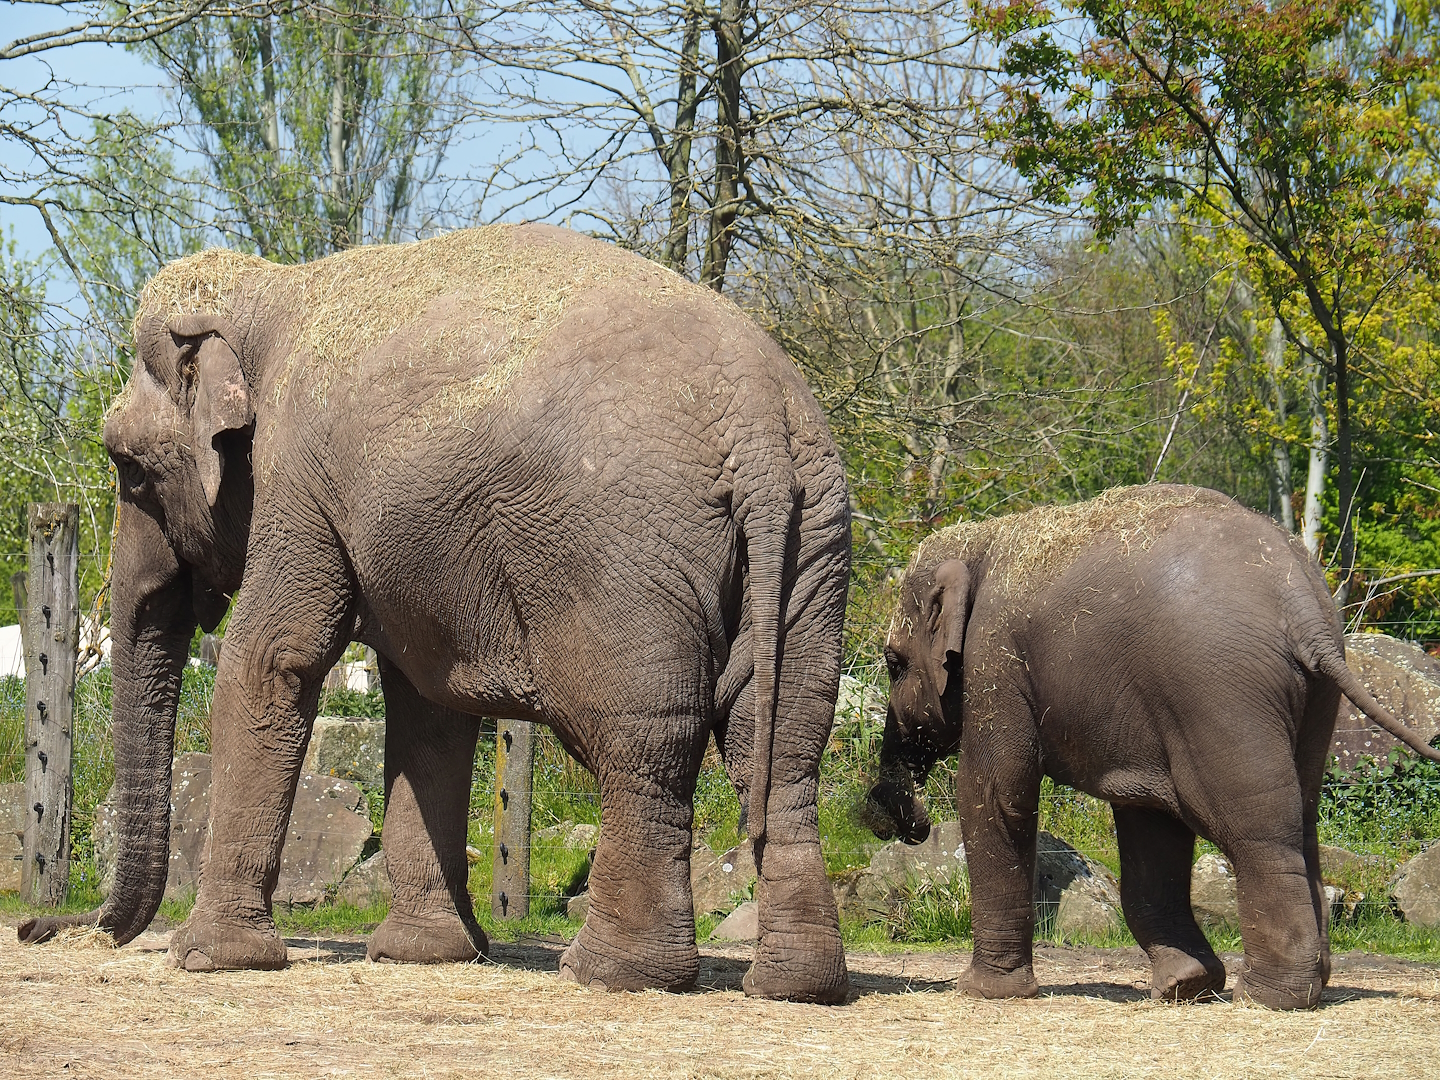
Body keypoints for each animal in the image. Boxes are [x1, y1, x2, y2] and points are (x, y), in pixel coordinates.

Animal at [19, 224, 852, 1004]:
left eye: (126, 466)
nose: (38, 930)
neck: (271, 291)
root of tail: (757, 422)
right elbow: (428, 705)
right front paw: (425, 953)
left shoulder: (297, 479)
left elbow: (274, 659)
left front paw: (207, 958)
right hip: (813, 540)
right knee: (783, 741)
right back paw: (795, 985)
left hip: (621, 553)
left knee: (645, 740)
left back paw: (612, 972)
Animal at [865, 484, 1440, 1009]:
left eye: (893, 663)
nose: (904, 823)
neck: (981, 540)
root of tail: (1303, 605)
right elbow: (1148, 818)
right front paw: (1184, 986)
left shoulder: (996, 658)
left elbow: (995, 793)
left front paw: (984, 992)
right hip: (1308, 698)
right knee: (1302, 815)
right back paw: (1300, 987)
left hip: (1217, 689)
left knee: (1254, 825)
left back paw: (1269, 997)